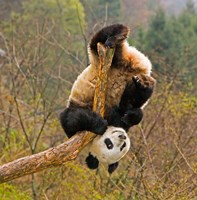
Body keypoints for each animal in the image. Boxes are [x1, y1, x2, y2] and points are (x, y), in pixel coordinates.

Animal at [59, 24, 155, 172]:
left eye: (122, 146)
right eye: (109, 144)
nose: (122, 136)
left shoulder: (119, 120)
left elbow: (128, 111)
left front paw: (131, 115)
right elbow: (72, 118)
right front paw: (99, 124)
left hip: (118, 62)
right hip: (103, 60)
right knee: (97, 41)